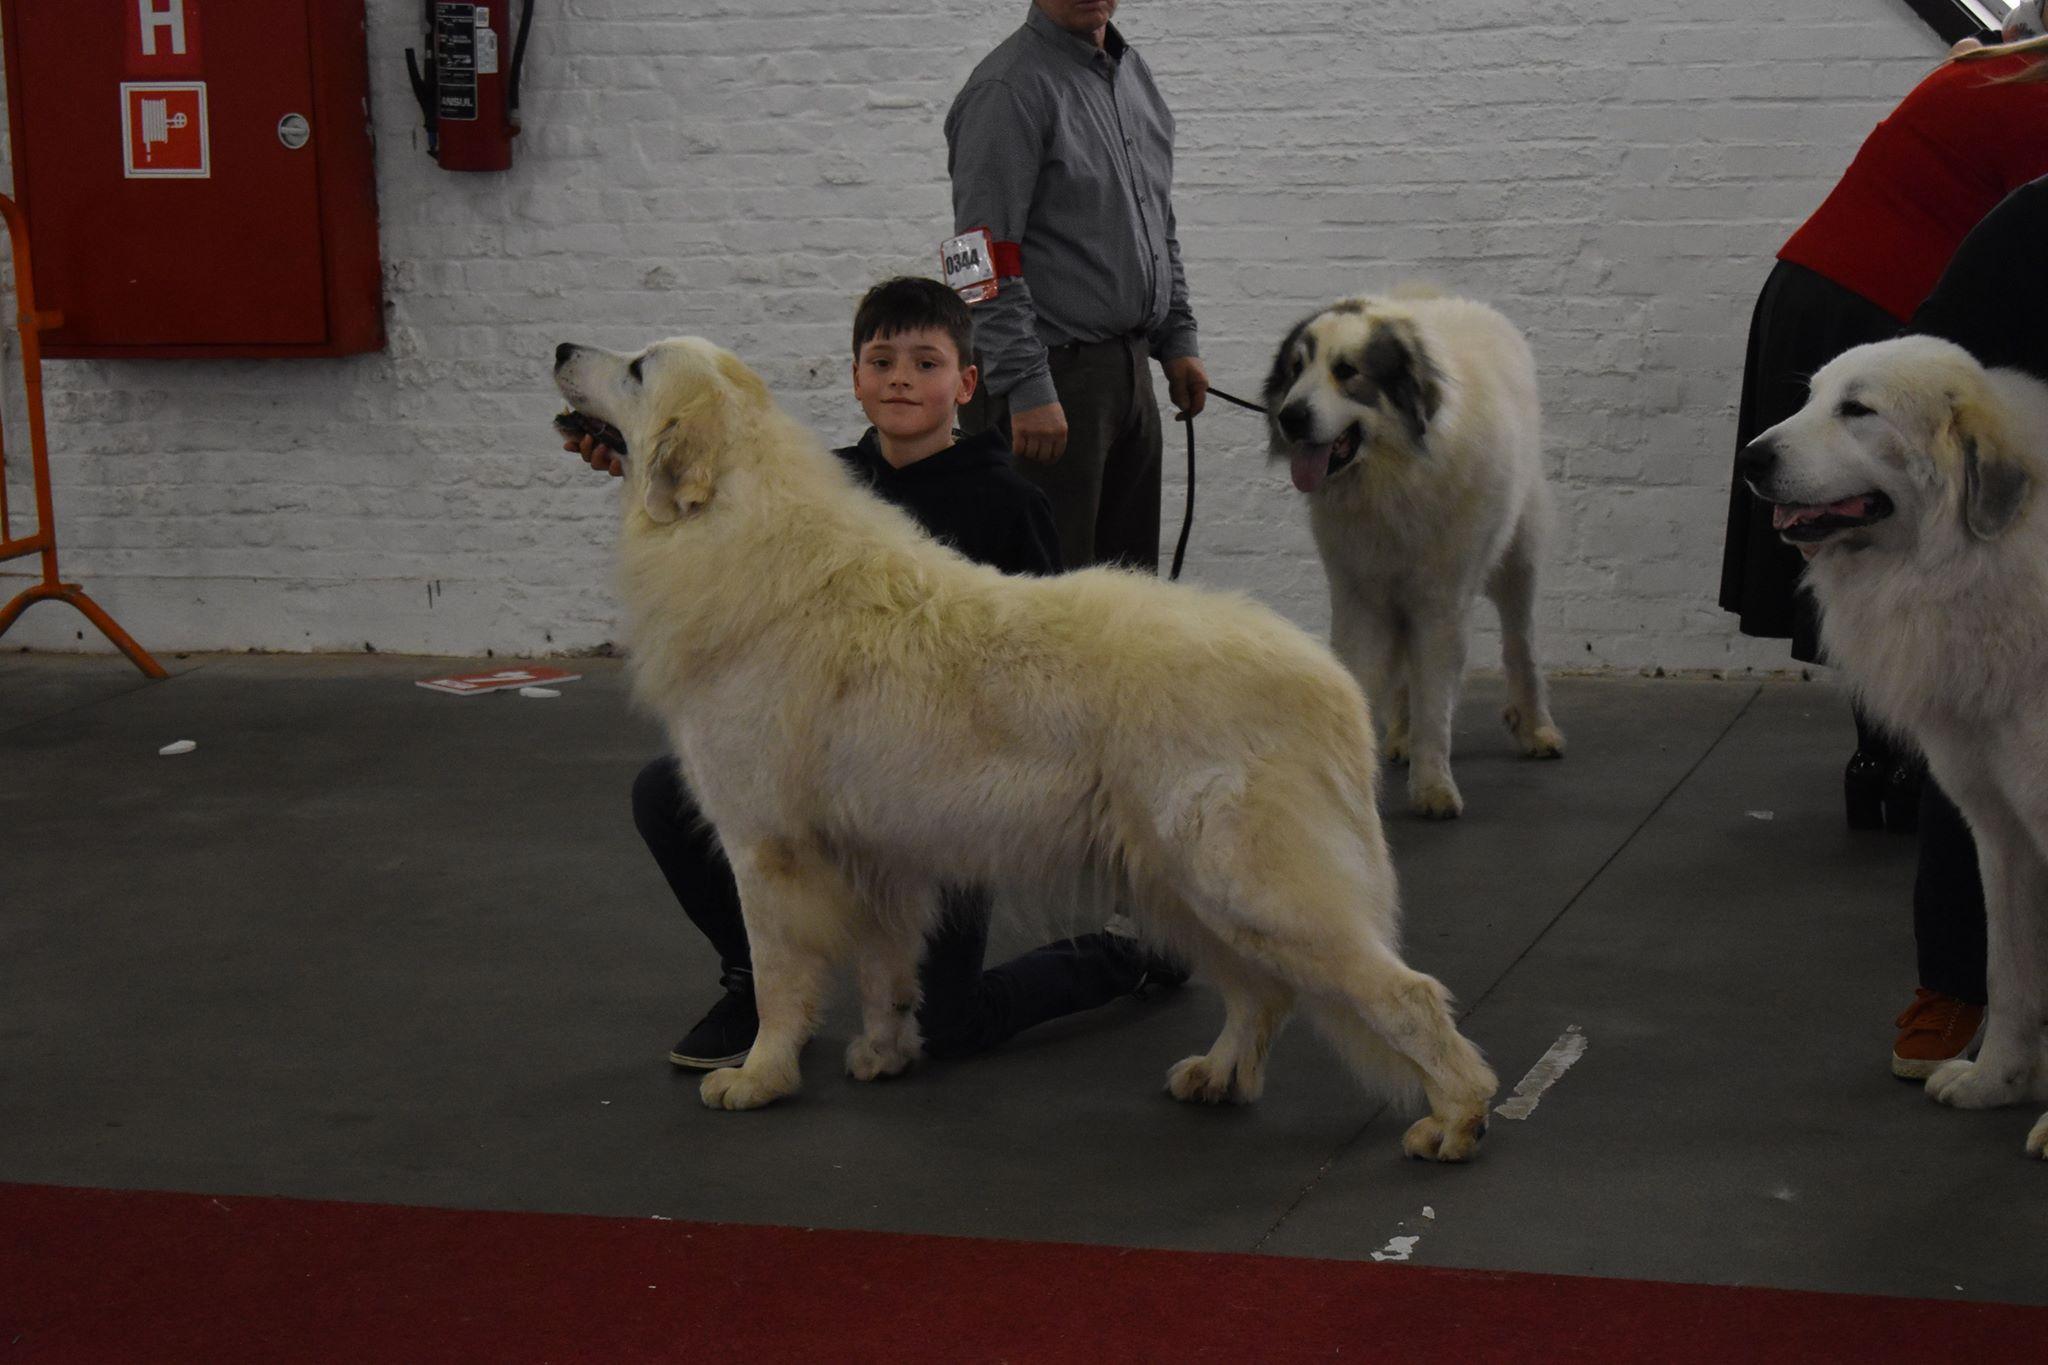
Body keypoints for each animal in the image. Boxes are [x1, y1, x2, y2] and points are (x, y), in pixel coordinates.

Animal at [552, 335, 1499, 1162]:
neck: (733, 525)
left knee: (1403, 994)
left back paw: (1457, 1117)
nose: (561, 351)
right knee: (1261, 991)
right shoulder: (878, 857)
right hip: (1182, 883)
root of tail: (1332, 680)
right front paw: (884, 1053)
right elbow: (885, 970)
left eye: (637, 368)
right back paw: (1220, 1073)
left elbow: (780, 973)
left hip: (1248, 881)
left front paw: (760, 1075)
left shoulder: (766, 847)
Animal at [1253, 290, 1556, 822]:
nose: (1290, 416)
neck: (1392, 481)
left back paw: (1536, 727)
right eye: (1296, 369)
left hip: (1518, 560)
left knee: (1522, 646)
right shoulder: (1360, 599)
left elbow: (1435, 702)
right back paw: (1399, 737)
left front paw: (1433, 787)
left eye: (1346, 371)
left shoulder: (1440, 607)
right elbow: (1362, 679)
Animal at [1744, 335, 2048, 1162]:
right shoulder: (2001, 829)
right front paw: (1998, 1079)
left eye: (1858, 410)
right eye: (1810, 398)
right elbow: (2008, 972)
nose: (1752, 456)